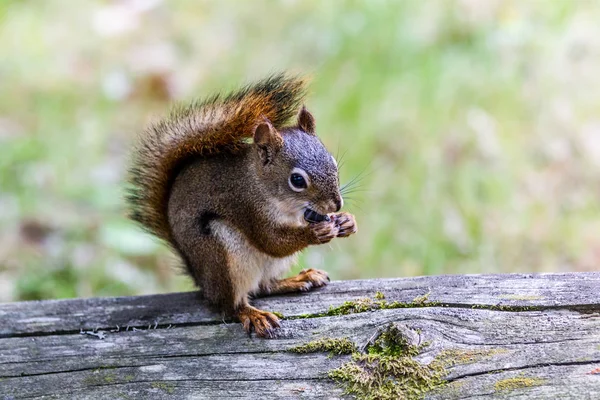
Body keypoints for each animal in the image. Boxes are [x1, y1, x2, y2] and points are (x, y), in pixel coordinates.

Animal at [126, 73, 356, 336]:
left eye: (333, 162)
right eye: (297, 180)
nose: (335, 205)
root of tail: (201, 280)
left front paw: (347, 221)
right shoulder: (247, 207)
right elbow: (271, 241)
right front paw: (315, 233)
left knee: (265, 286)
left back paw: (298, 279)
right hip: (223, 258)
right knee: (230, 305)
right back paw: (253, 314)